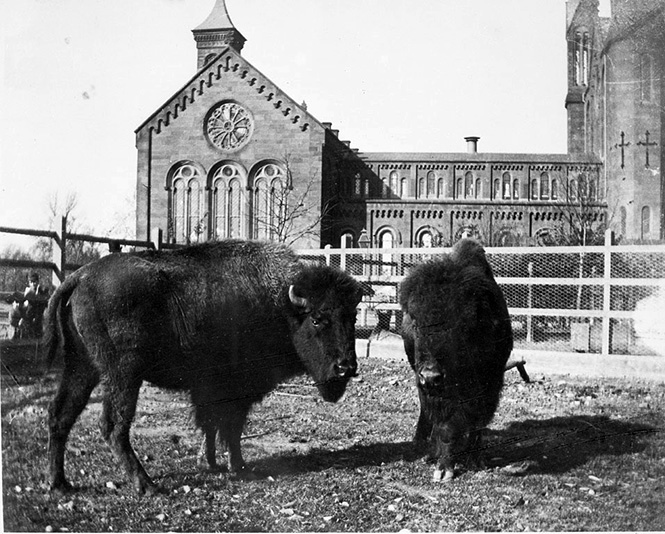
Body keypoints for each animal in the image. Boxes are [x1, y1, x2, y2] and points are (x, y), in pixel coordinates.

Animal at [45, 241, 364, 496]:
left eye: (352, 317)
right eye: (317, 319)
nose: (345, 367)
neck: (281, 306)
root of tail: (80, 276)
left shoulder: (209, 390)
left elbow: (211, 424)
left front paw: (210, 462)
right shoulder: (236, 390)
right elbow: (231, 427)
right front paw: (238, 465)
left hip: (82, 367)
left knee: (61, 414)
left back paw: (60, 484)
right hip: (123, 375)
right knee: (114, 425)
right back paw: (147, 485)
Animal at [396, 241, 510, 484]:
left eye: (464, 324)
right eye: (415, 322)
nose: (431, 376)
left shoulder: (489, 384)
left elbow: (476, 421)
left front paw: (474, 460)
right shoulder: (435, 391)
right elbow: (444, 425)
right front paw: (443, 468)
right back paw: (428, 450)